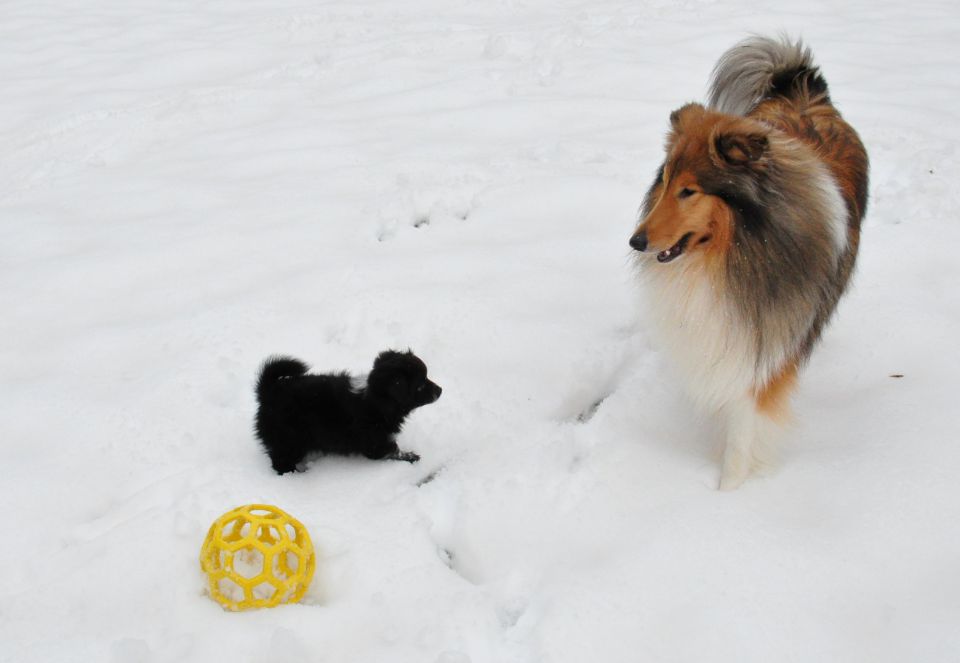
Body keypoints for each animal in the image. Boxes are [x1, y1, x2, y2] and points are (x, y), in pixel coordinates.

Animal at [251, 350, 438, 474]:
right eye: (420, 385)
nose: (440, 390)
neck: (377, 399)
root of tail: (268, 392)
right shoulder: (374, 439)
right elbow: (391, 450)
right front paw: (411, 457)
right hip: (288, 439)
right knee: (281, 460)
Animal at [632, 37, 872, 492]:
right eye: (666, 180)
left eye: (690, 191)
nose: (636, 242)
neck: (728, 257)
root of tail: (802, 88)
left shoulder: (765, 343)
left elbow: (745, 425)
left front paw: (728, 493)